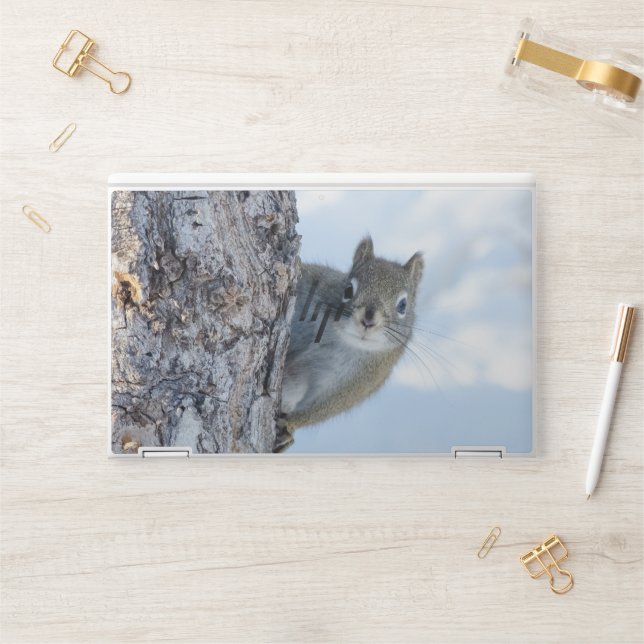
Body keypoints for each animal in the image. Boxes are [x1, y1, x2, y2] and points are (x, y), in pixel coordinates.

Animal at [275, 236, 424, 452]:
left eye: (403, 305)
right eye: (348, 290)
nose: (368, 320)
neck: (340, 339)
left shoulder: (361, 381)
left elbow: (327, 406)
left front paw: (291, 424)